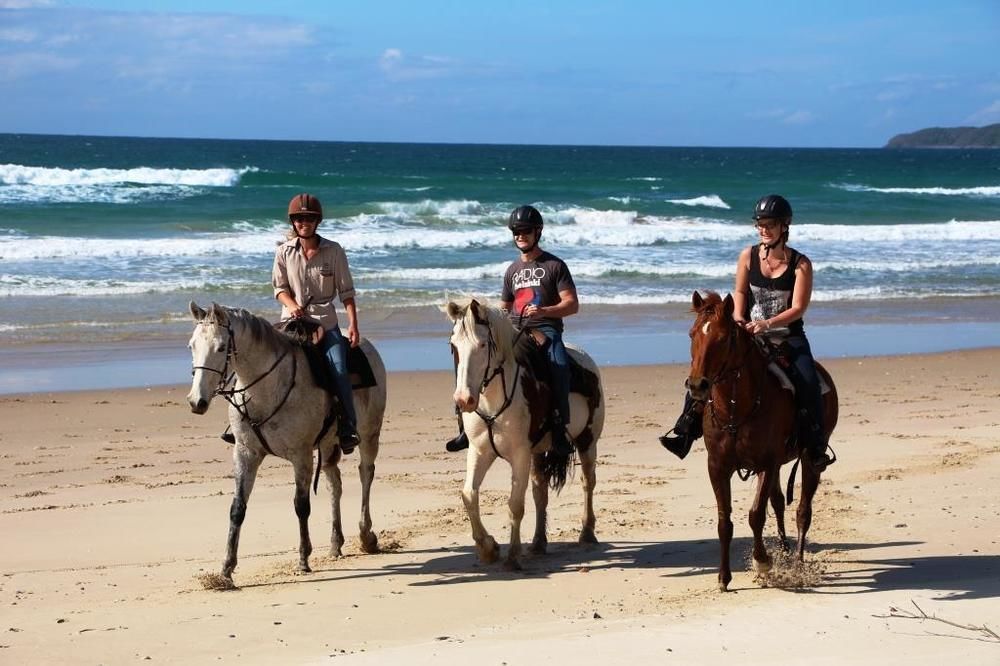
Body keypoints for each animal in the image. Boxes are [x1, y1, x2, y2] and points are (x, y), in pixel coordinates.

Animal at [188, 300, 386, 580]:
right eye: (192, 345)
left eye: (221, 347)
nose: (197, 401)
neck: (265, 390)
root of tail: (366, 344)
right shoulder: (245, 453)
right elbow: (237, 508)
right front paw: (226, 568)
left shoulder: (301, 455)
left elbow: (301, 505)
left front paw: (303, 559)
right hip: (328, 444)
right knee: (334, 484)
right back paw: (335, 543)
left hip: (370, 434)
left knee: (366, 473)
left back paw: (366, 535)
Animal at [444, 298, 600, 568]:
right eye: (453, 346)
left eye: (482, 344)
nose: (464, 400)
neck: (494, 399)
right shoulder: (479, 451)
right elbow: (469, 495)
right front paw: (488, 548)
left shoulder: (520, 454)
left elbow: (515, 504)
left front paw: (512, 556)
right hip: (539, 451)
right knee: (540, 492)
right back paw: (538, 543)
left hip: (588, 440)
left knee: (587, 482)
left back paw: (587, 533)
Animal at [688, 288, 836, 588]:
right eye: (691, 334)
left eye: (722, 338)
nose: (697, 385)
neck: (736, 408)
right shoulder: (718, 467)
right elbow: (724, 520)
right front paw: (724, 577)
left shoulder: (766, 464)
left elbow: (756, 515)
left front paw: (762, 562)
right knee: (778, 503)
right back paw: (784, 550)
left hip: (809, 459)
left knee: (803, 511)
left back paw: (797, 562)